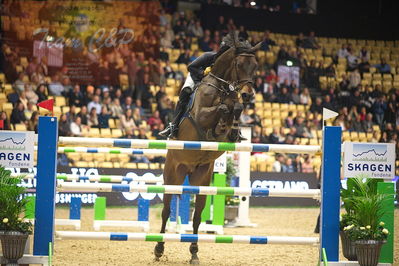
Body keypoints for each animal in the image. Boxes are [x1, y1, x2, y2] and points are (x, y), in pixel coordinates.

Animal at [154, 35, 262, 264]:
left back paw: (194, 252)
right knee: (166, 211)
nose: (248, 95)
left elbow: (233, 110)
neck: (223, 88)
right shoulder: (201, 116)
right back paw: (158, 249)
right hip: (172, 175)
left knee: (197, 216)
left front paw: (232, 127)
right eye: (239, 65)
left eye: (255, 66)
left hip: (202, 178)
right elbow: (220, 109)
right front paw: (221, 119)